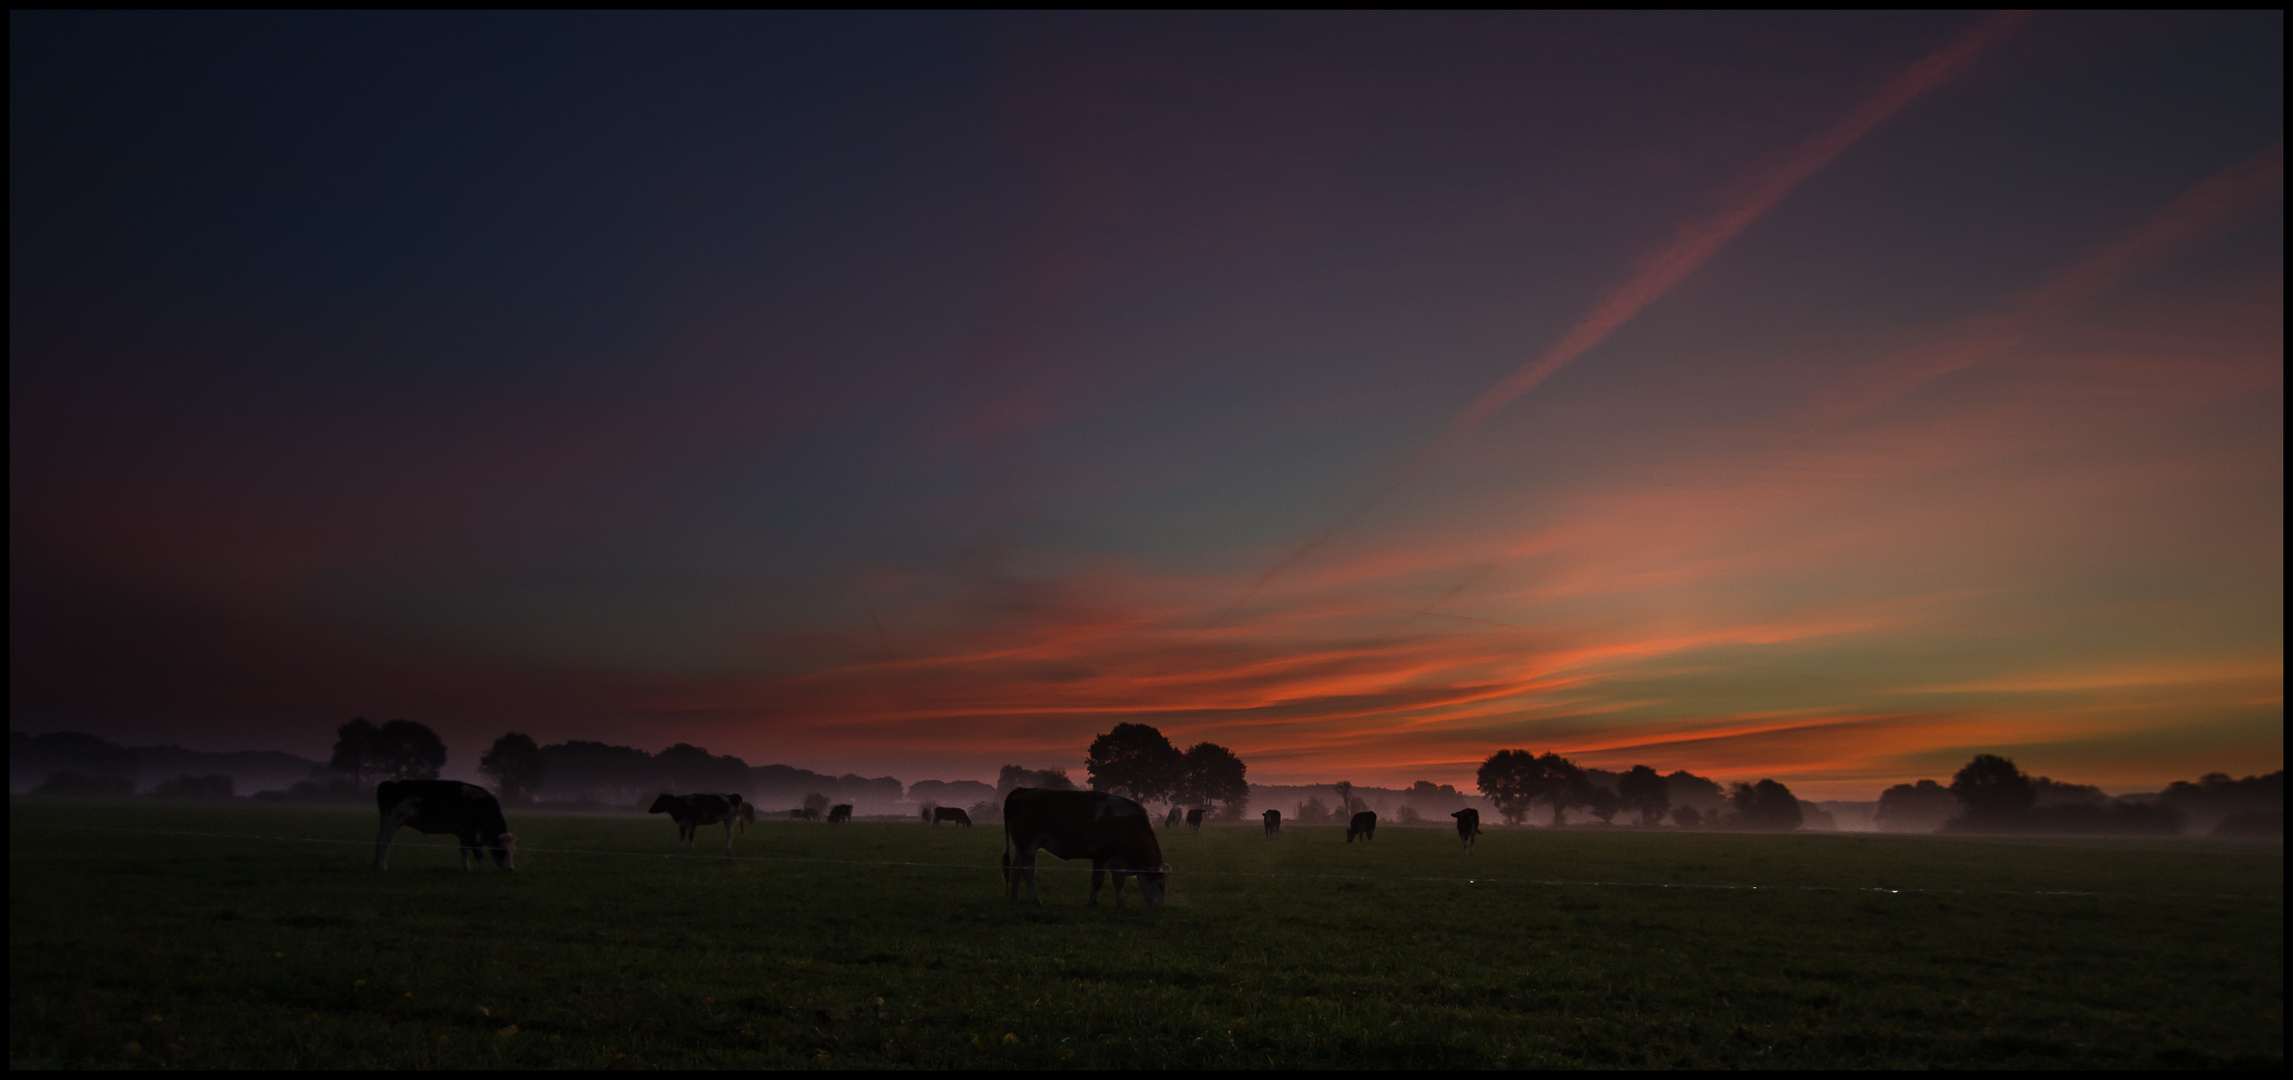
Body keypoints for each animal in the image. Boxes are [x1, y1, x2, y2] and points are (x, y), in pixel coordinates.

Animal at [373, 784, 518, 875]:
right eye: (503, 850)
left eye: (513, 851)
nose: (510, 869)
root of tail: (389, 783)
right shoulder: (473, 832)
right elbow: (478, 852)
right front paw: (482, 870)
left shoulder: (464, 833)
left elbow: (464, 851)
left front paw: (467, 869)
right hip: (393, 821)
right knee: (384, 841)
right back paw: (382, 866)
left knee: (379, 839)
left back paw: (377, 865)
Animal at [1008, 784, 1174, 912]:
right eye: (1160, 884)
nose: (1160, 907)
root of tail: (1023, 790)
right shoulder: (1101, 856)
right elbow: (1097, 881)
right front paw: (1091, 903)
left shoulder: (1117, 861)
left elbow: (1119, 883)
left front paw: (1121, 904)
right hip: (1029, 845)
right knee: (1027, 871)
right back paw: (1035, 900)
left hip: (1021, 847)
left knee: (1016, 868)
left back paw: (1014, 897)